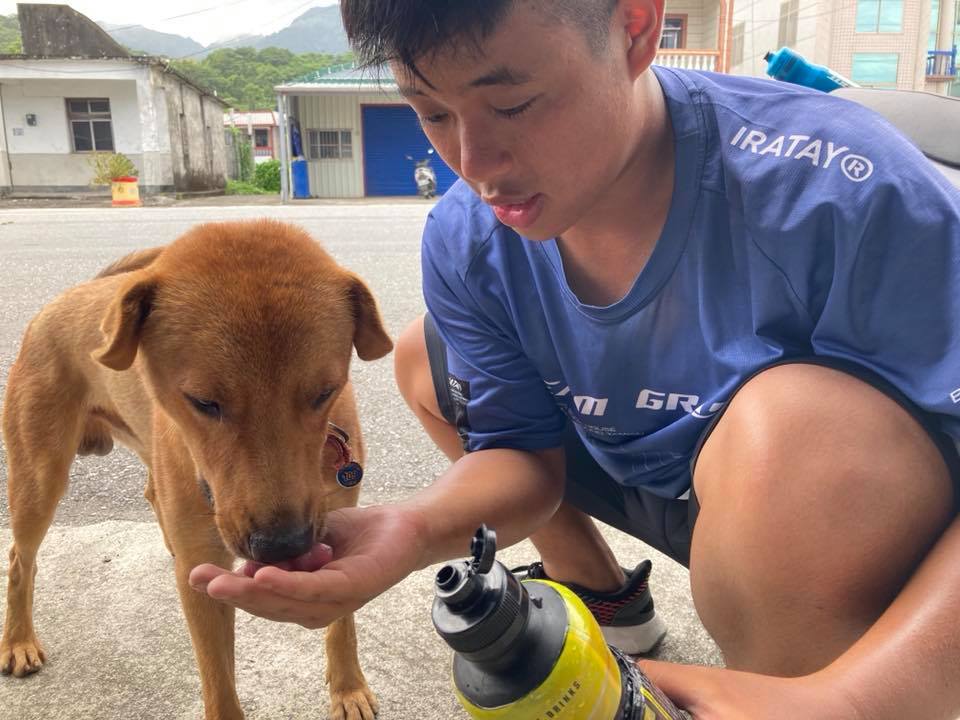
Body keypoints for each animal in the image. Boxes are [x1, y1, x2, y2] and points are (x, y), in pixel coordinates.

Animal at [0, 221, 390, 720]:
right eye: (203, 402)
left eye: (325, 392)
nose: (282, 546)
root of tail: (71, 295)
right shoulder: (206, 577)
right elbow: (219, 684)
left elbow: (342, 622)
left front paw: (348, 689)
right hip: (39, 477)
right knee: (20, 559)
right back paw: (18, 640)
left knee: (152, 493)